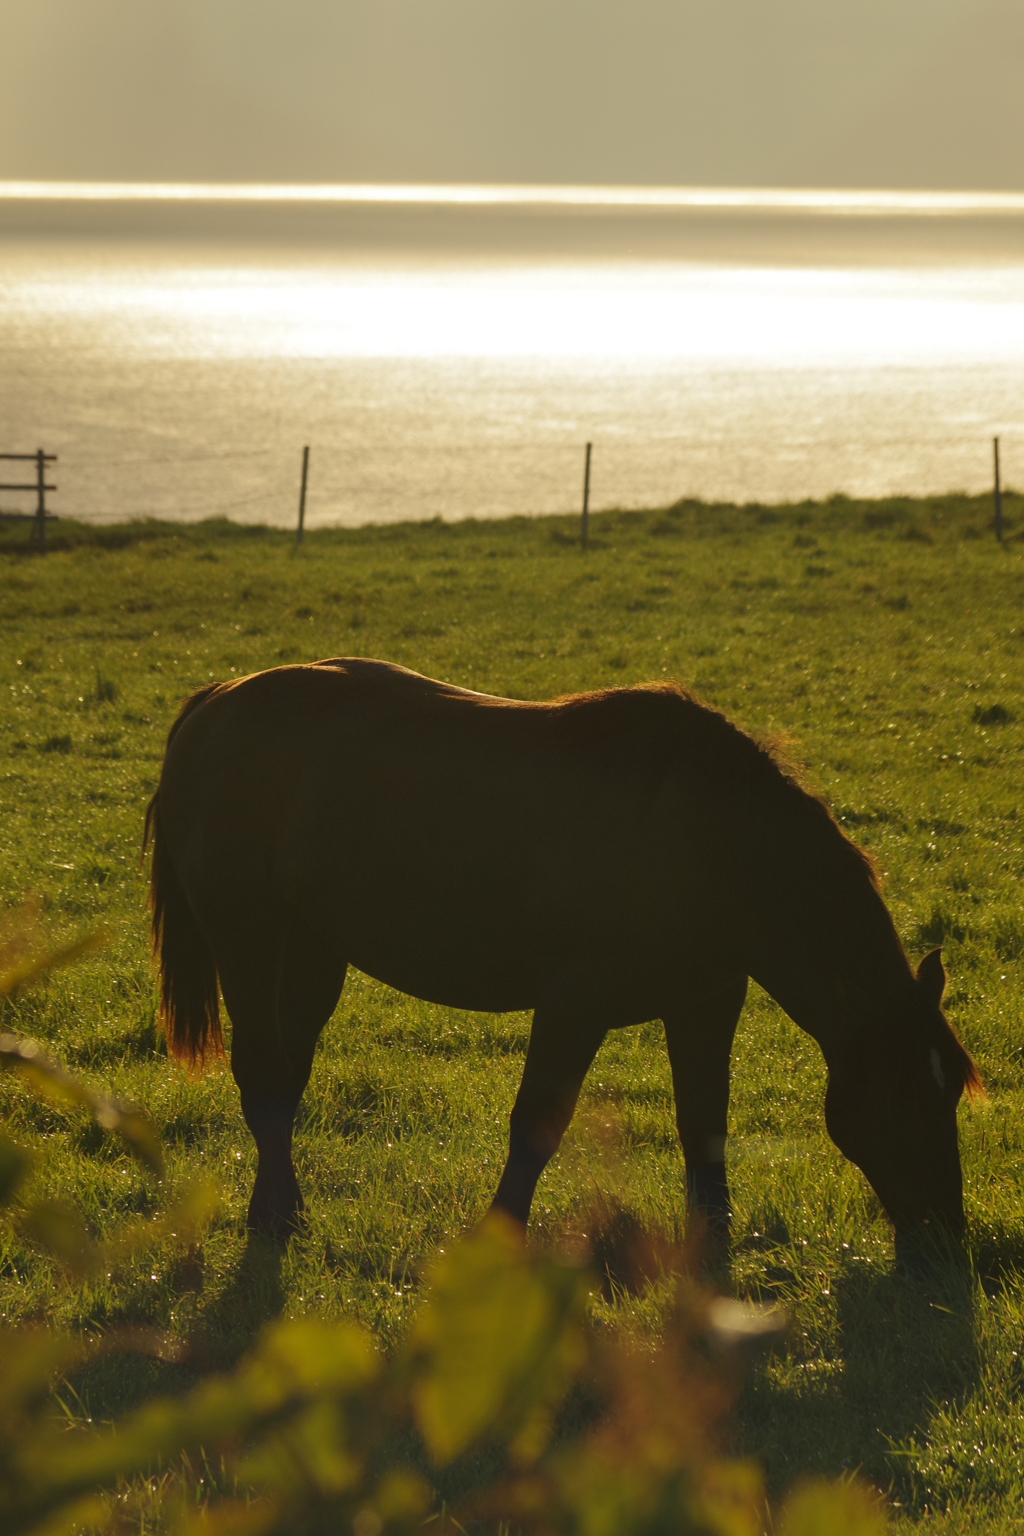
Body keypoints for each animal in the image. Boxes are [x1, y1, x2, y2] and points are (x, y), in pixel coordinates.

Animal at [142, 654, 976, 1265]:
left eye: (951, 1093)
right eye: (908, 1094)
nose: (947, 1233)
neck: (701, 838)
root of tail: (213, 704)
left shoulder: (706, 1001)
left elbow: (702, 1122)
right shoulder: (576, 1003)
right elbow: (539, 1122)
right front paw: (498, 1239)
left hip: (315, 951)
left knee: (286, 1077)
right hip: (248, 938)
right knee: (263, 1071)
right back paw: (278, 1217)